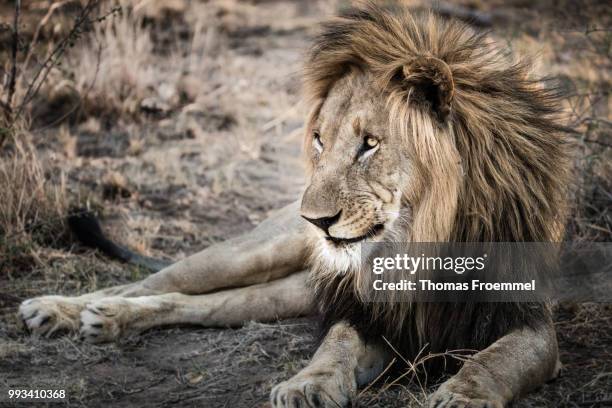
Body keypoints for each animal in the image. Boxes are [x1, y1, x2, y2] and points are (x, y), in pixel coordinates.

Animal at [20, 3, 572, 408]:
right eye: (319, 141)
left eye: (370, 144)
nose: (315, 221)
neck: (422, 242)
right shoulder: (365, 314)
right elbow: (336, 344)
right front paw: (309, 384)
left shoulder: (529, 320)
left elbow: (495, 361)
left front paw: (463, 395)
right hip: (251, 253)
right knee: (154, 280)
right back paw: (67, 310)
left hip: (288, 293)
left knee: (194, 304)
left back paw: (104, 318)